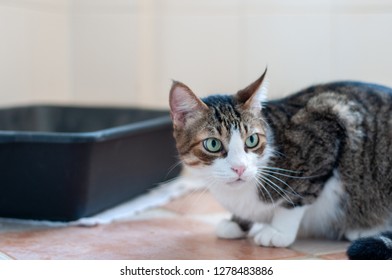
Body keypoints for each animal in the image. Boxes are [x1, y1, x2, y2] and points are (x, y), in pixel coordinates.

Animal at [168, 68, 392, 260]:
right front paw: (237, 223)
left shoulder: (328, 121)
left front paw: (278, 231)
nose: (240, 168)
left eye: (252, 140)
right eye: (213, 144)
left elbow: (296, 196)